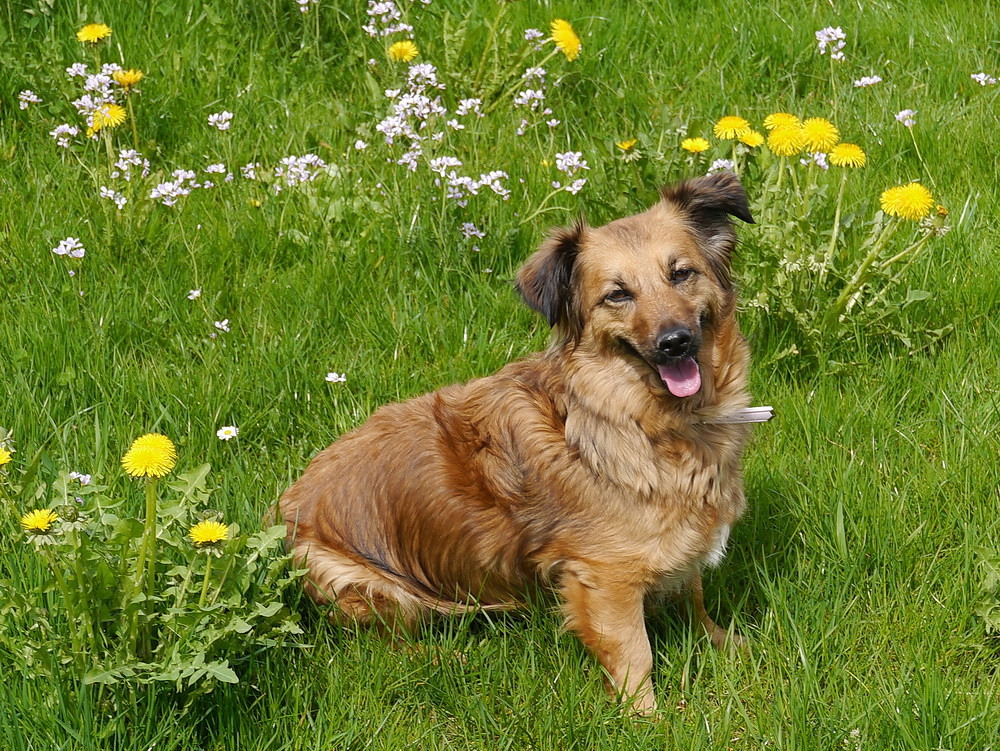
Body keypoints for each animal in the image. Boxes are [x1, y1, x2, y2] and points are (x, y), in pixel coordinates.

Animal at [278, 172, 752, 716]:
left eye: (681, 274)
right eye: (617, 295)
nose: (676, 342)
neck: (638, 419)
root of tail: (284, 505)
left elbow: (693, 596)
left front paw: (725, 642)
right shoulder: (603, 578)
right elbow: (636, 654)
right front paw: (645, 717)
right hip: (365, 584)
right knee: (393, 644)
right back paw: (446, 660)